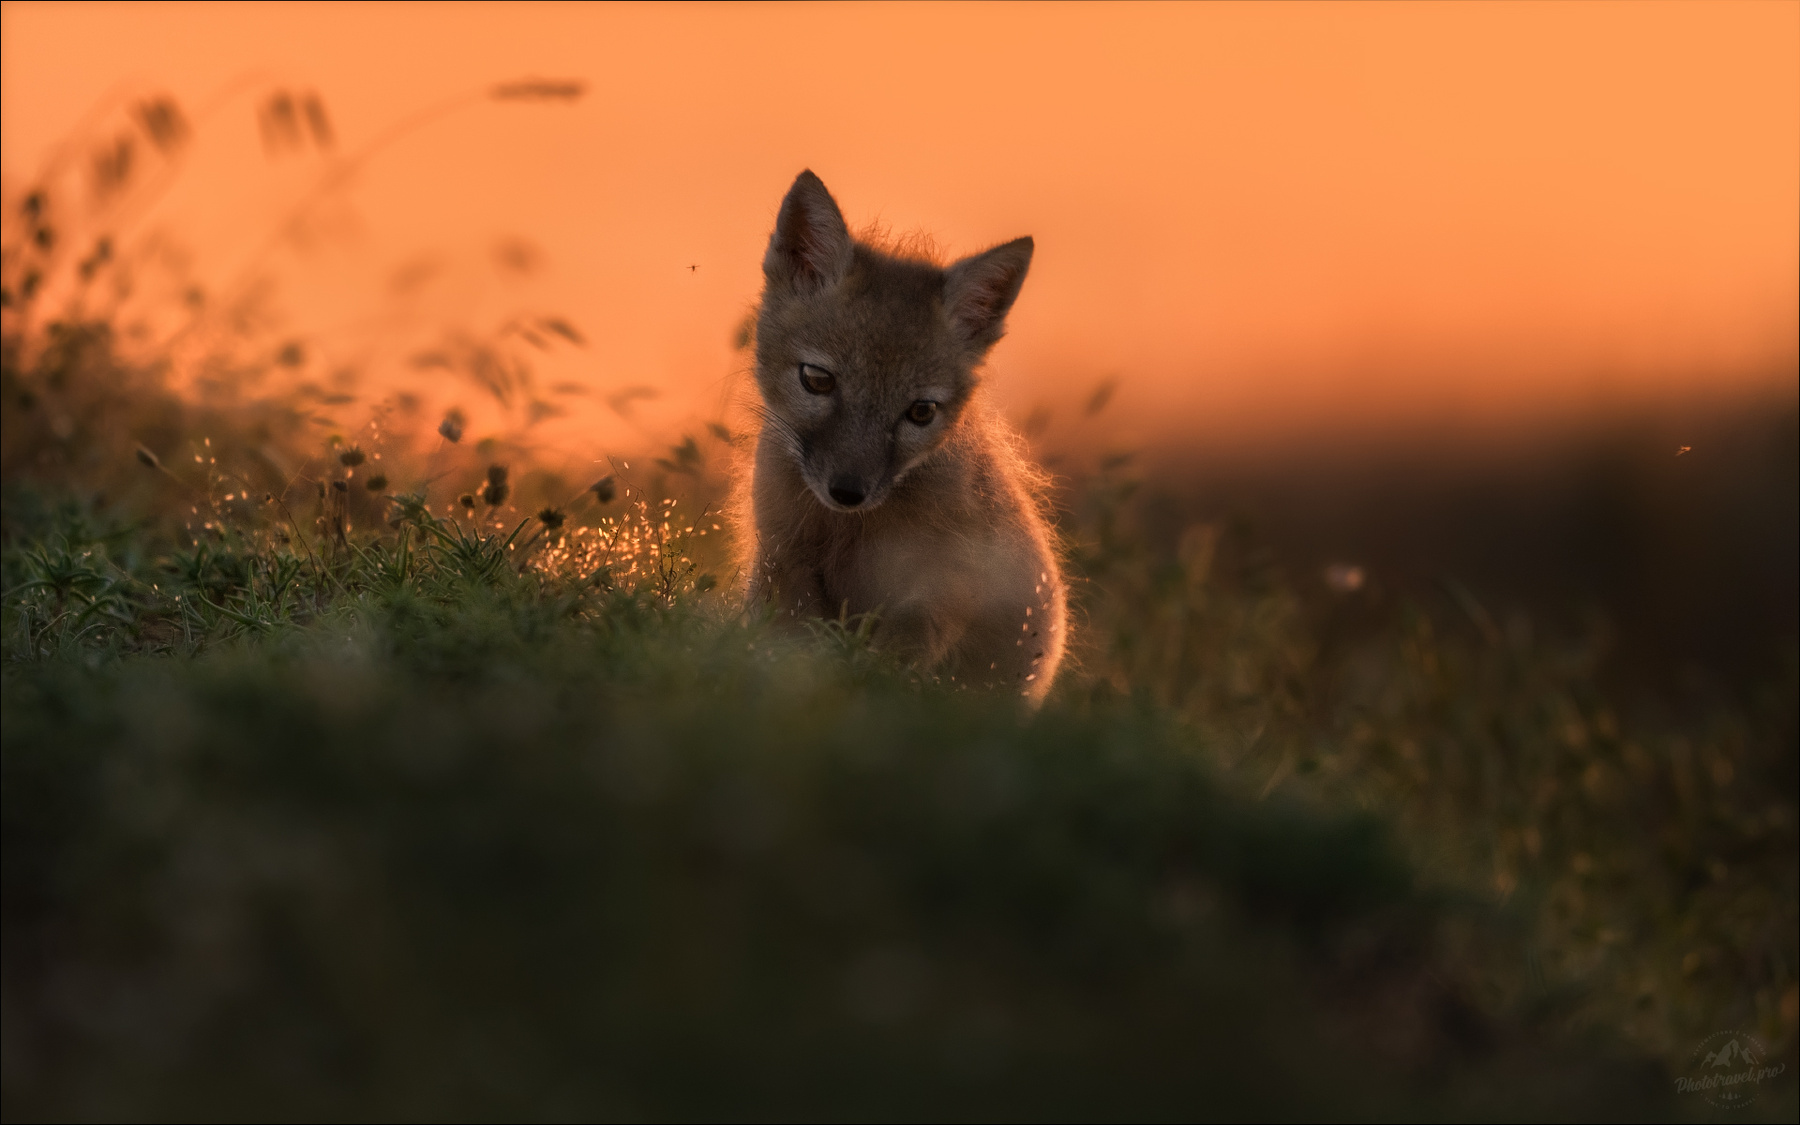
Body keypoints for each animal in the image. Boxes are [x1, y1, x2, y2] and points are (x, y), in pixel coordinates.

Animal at [740, 170, 1067, 702]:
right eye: (817, 380)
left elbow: (889, 661)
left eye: (920, 412)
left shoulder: (938, 590)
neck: (846, 532)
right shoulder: (783, 559)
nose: (848, 492)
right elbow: (791, 649)